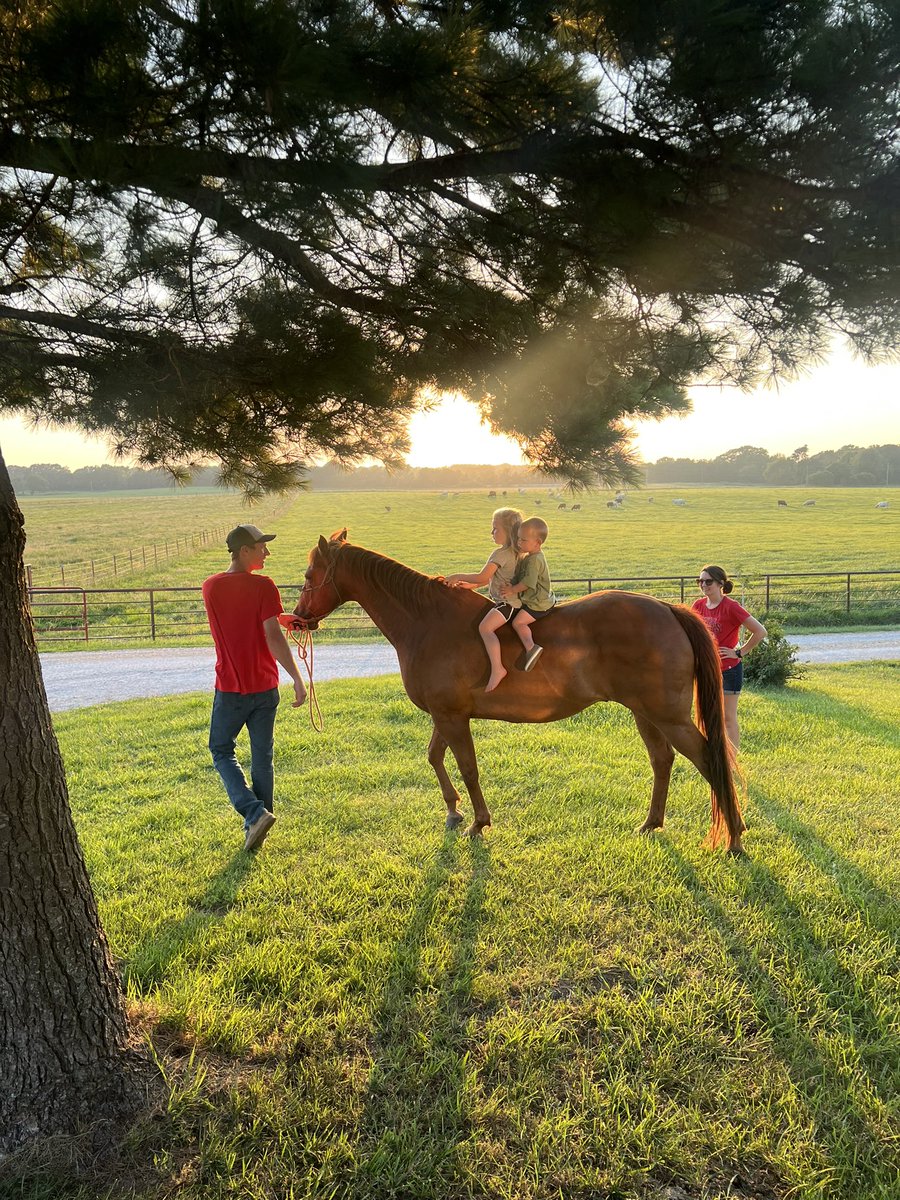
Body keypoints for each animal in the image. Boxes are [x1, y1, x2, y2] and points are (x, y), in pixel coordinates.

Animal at [290, 532, 748, 854]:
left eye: (310, 576)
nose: (297, 618)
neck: (428, 621)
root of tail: (668, 608)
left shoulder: (453, 717)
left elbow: (468, 767)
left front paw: (478, 822)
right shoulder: (444, 714)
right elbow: (435, 758)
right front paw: (453, 811)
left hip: (668, 715)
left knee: (707, 757)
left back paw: (735, 837)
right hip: (645, 712)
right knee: (662, 760)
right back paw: (653, 823)